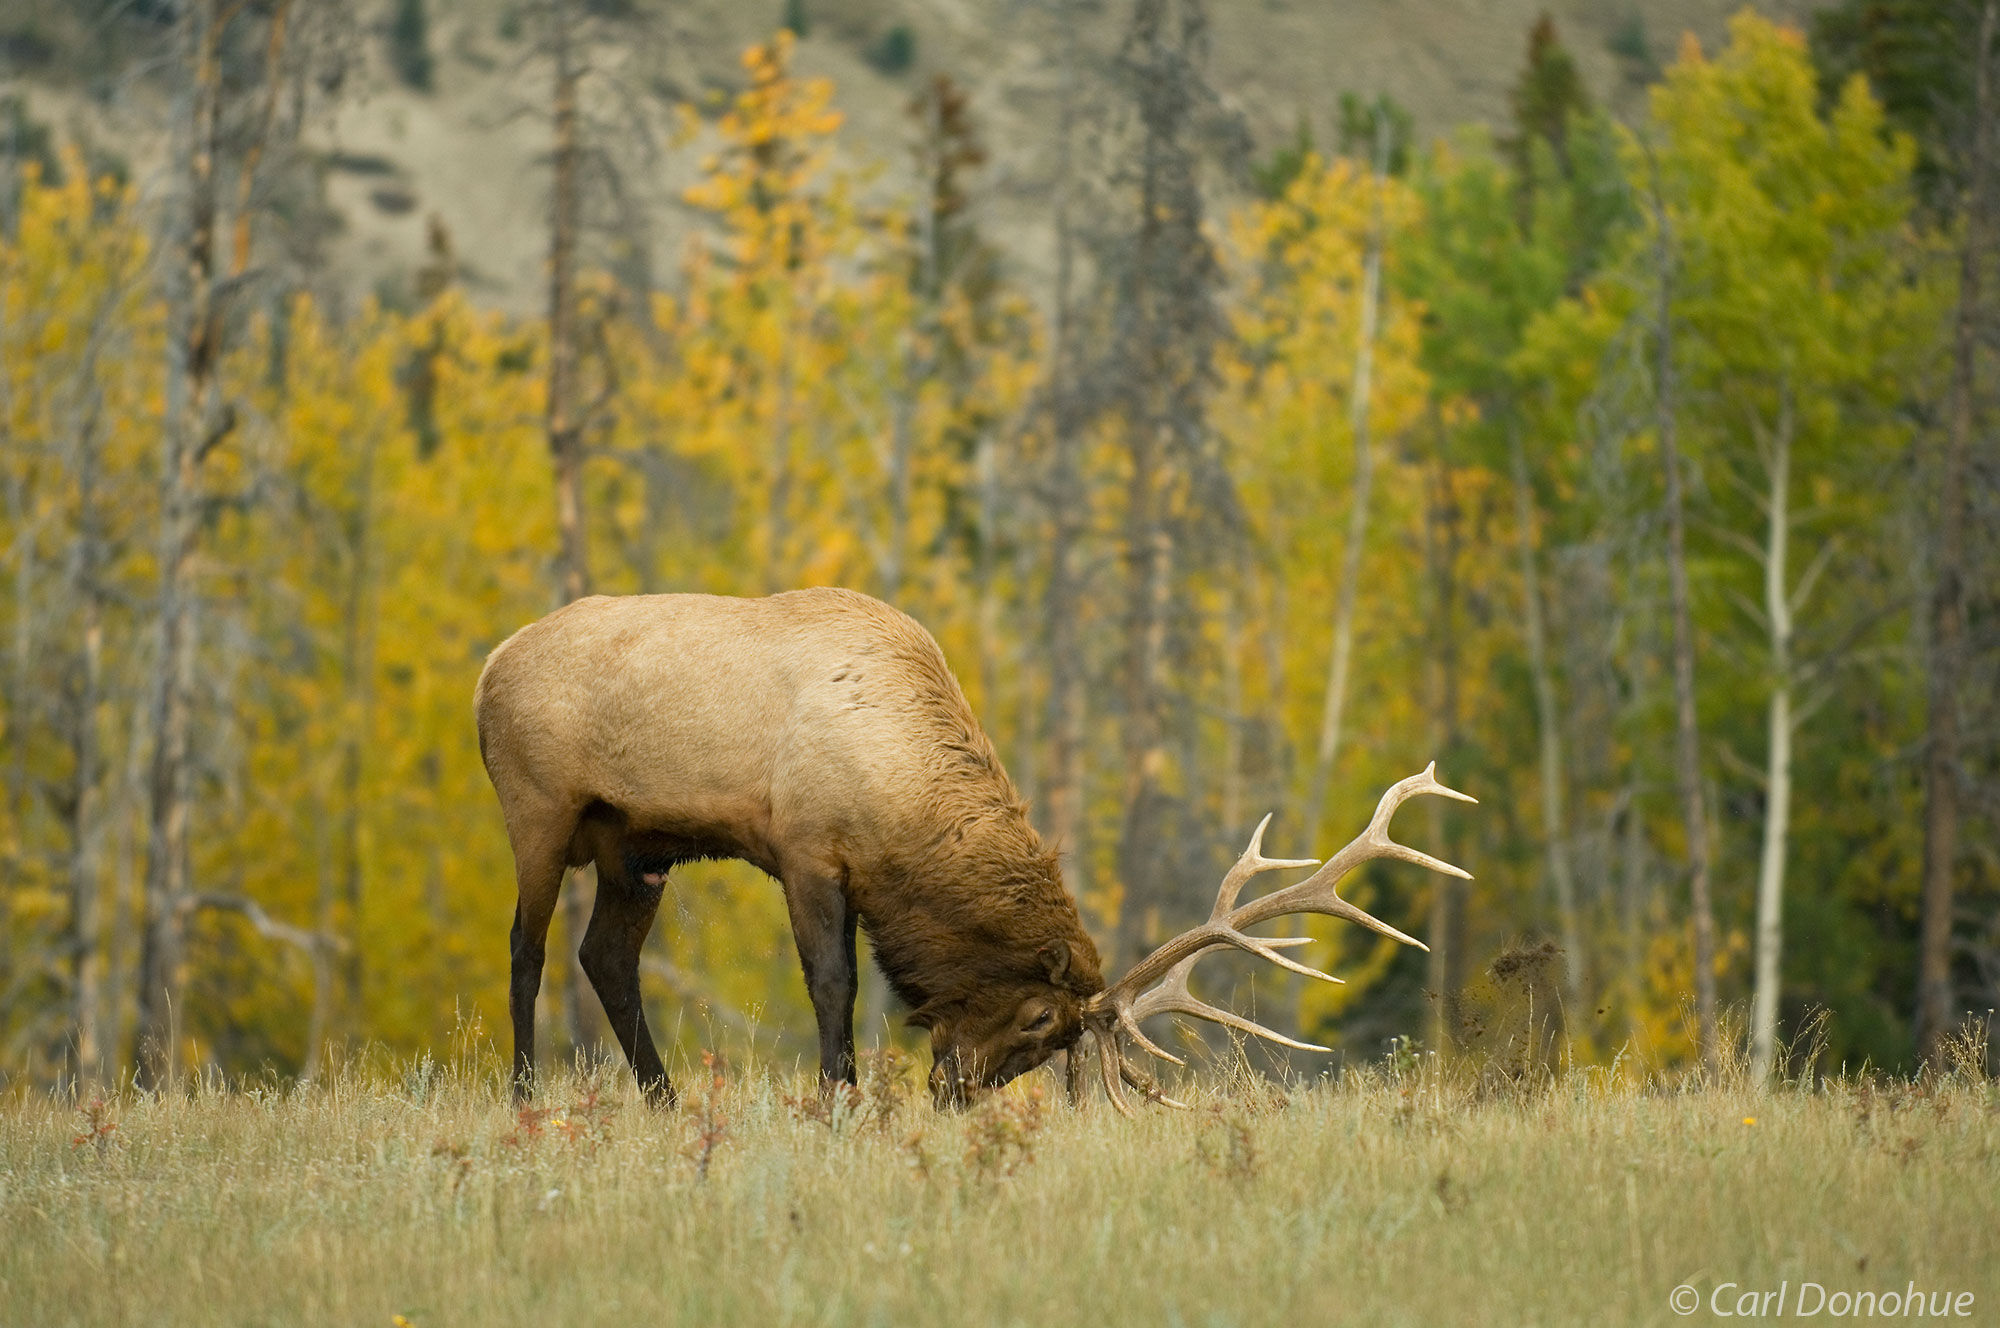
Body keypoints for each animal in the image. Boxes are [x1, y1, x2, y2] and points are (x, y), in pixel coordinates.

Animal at [468, 588, 1472, 1112]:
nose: (955, 1091)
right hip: (539, 807)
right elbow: (833, 984)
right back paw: (523, 1095)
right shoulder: (805, 847)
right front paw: (839, 1102)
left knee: (606, 956)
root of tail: (485, 670)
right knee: (525, 949)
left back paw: (667, 1100)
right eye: (1037, 1019)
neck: (898, 800)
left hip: (635, 847)